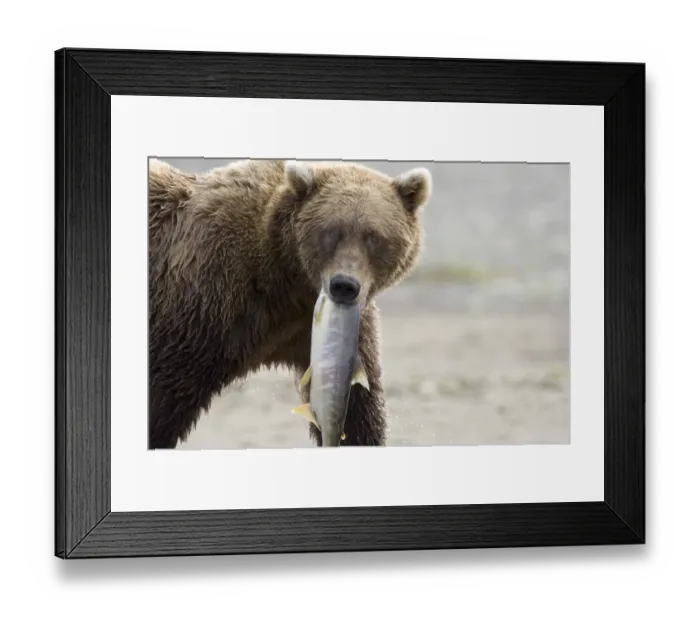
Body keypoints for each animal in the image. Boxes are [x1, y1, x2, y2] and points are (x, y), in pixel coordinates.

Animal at [148, 157, 432, 449]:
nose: (344, 285)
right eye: (331, 233)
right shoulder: (205, 303)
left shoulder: (319, 329)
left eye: (373, 237)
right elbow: (167, 392)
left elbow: (360, 405)